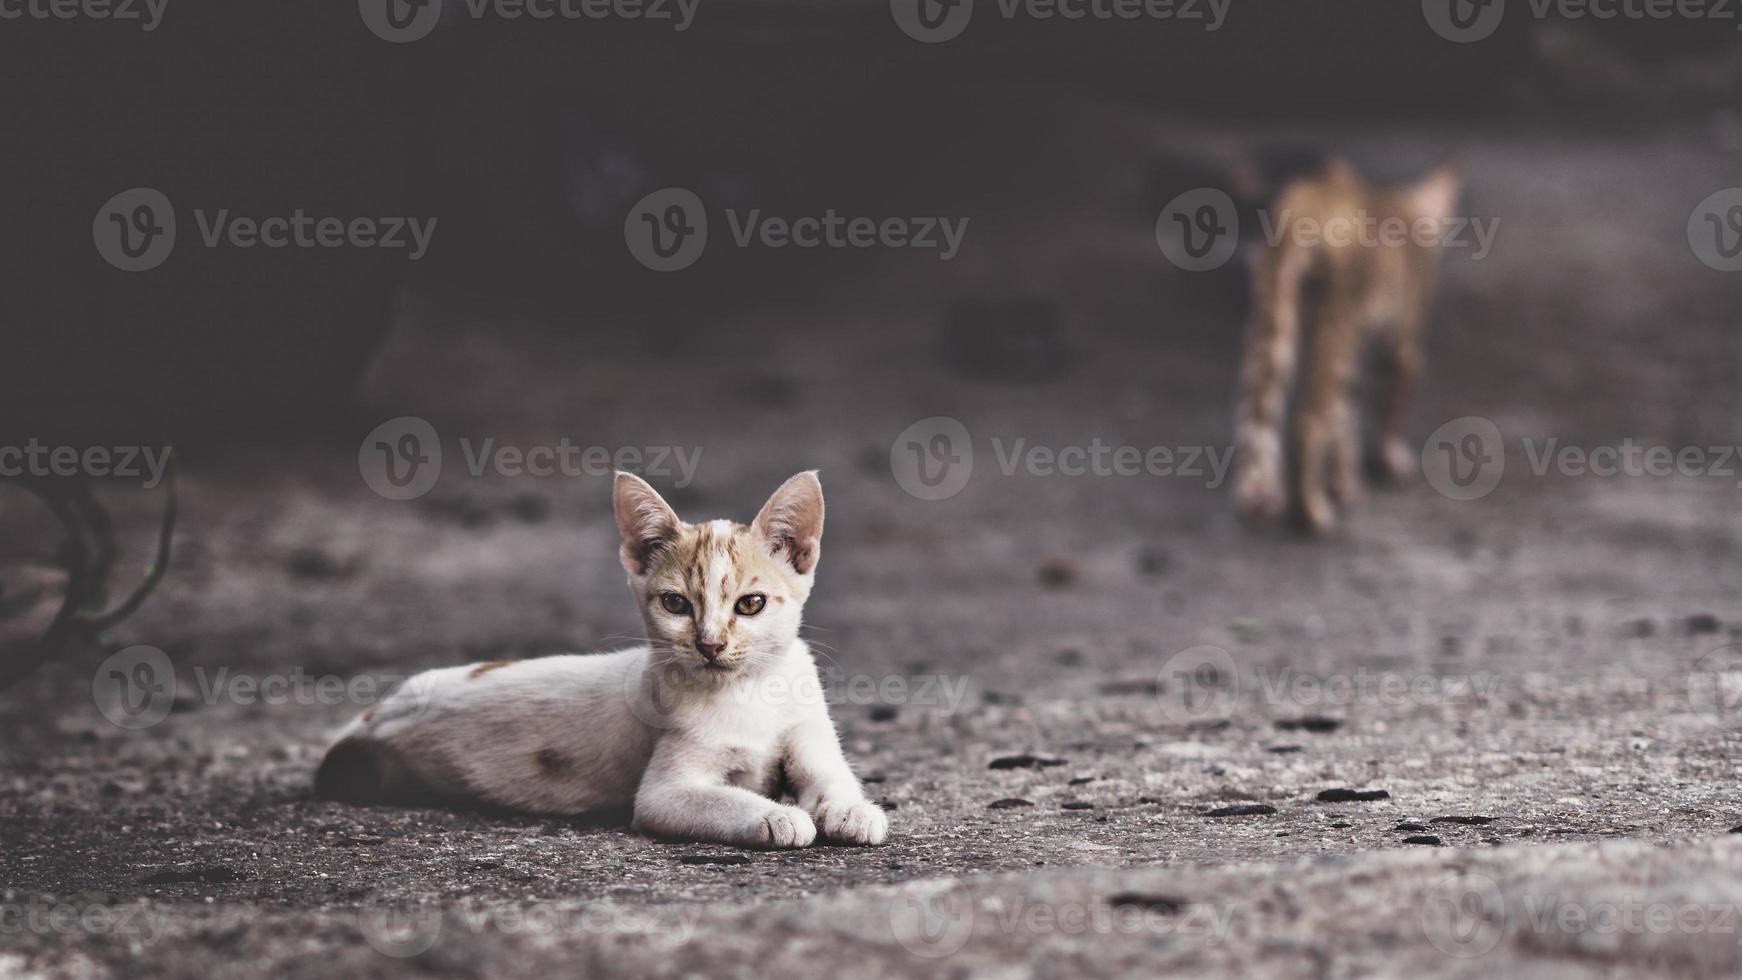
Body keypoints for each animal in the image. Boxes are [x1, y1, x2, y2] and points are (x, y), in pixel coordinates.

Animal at [313, 469, 884, 845]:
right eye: (676, 604)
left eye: (751, 604)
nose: (710, 644)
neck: (748, 692)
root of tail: (377, 713)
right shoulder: (664, 792)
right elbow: (715, 799)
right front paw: (776, 816)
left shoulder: (808, 731)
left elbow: (832, 779)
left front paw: (854, 810)